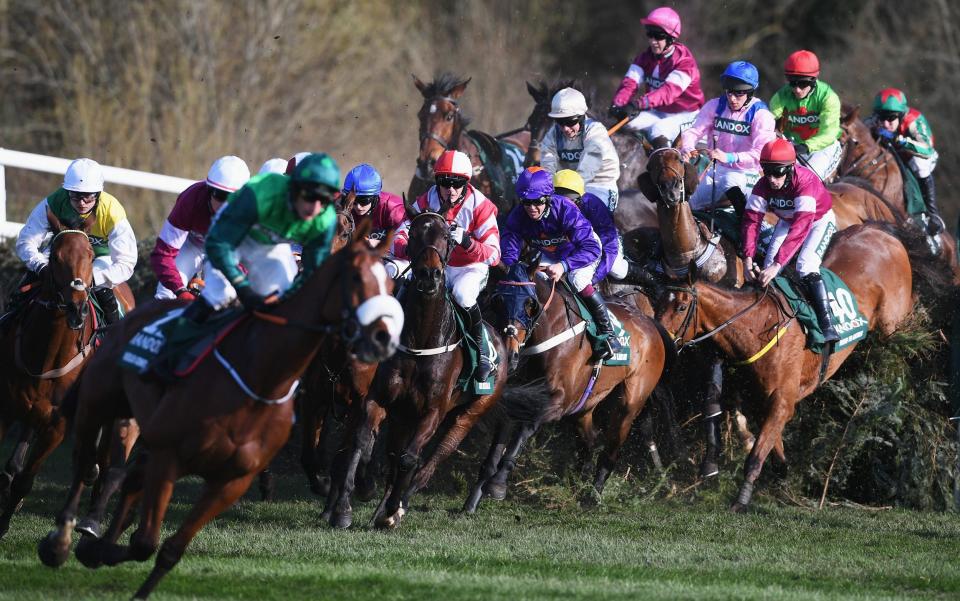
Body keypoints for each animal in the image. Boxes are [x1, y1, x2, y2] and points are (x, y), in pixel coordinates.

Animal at [38, 223, 402, 596]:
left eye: (389, 286)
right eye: (355, 278)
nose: (383, 337)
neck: (259, 379)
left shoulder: (230, 481)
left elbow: (167, 549)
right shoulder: (169, 456)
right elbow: (145, 541)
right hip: (98, 402)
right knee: (85, 462)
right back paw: (60, 541)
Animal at [324, 209, 510, 528]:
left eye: (447, 236)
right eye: (412, 233)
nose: (429, 275)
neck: (421, 339)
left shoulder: (432, 411)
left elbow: (409, 459)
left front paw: (390, 509)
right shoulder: (379, 400)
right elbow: (364, 443)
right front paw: (347, 505)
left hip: (470, 412)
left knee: (430, 461)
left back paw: (397, 507)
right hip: (403, 415)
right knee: (395, 454)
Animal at [464, 264, 668, 512]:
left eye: (530, 303)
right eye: (498, 300)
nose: (511, 355)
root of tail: (648, 321)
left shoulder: (558, 402)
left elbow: (525, 429)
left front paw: (498, 484)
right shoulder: (520, 399)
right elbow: (495, 449)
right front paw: (472, 502)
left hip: (631, 400)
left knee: (611, 448)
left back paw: (593, 496)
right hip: (585, 405)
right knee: (591, 441)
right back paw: (582, 484)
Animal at [656, 223, 932, 508]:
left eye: (680, 307)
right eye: (657, 302)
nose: (660, 339)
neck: (758, 325)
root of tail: (883, 233)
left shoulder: (781, 399)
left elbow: (756, 455)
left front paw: (742, 499)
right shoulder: (763, 400)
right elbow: (772, 444)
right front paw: (782, 471)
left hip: (893, 323)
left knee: (909, 342)